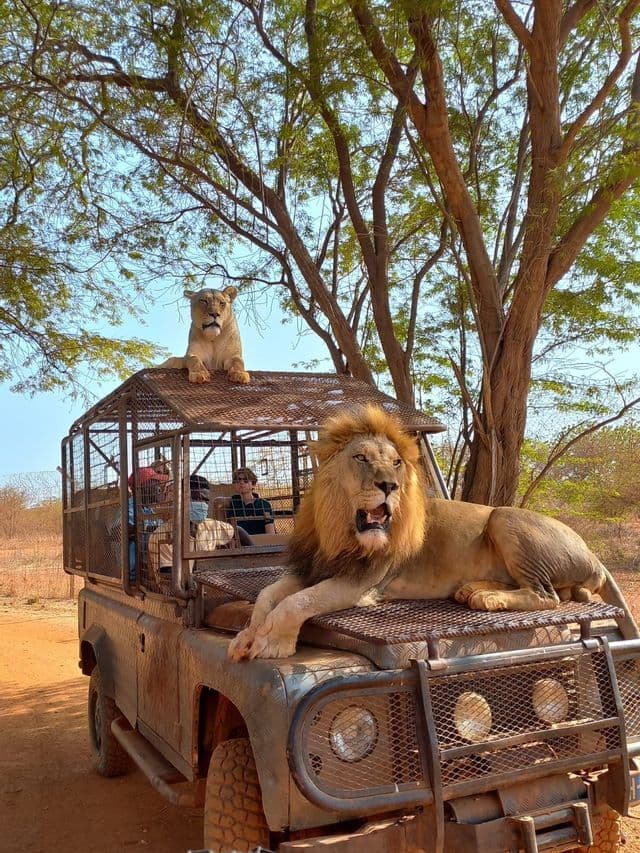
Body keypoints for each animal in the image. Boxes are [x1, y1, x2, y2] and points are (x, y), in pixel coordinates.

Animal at [228, 404, 639, 661]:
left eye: (396, 462)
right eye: (360, 458)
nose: (389, 485)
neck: (339, 528)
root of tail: (594, 554)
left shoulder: (361, 582)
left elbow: (297, 603)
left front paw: (272, 644)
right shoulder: (309, 568)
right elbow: (267, 596)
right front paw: (245, 637)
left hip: (504, 517)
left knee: (547, 596)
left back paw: (488, 599)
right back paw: (475, 591)